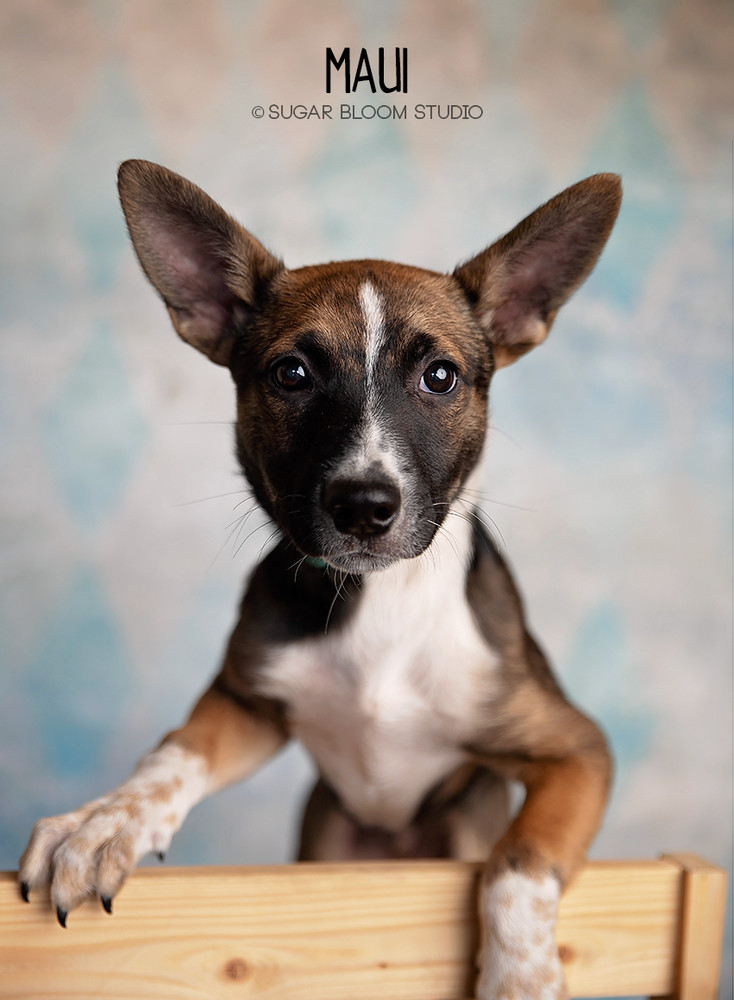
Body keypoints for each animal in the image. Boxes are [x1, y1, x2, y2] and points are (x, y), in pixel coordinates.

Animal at [20, 164, 624, 1000]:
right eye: (292, 374)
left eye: (440, 377)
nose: (364, 506)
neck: (380, 605)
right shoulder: (248, 702)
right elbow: (172, 758)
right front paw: (103, 821)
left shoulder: (576, 751)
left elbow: (519, 862)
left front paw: (521, 975)